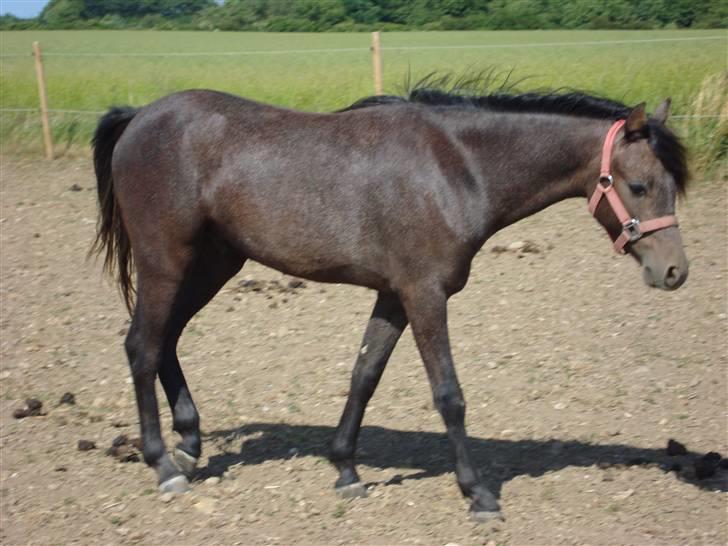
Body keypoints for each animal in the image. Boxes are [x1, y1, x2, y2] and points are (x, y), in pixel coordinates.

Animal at [91, 81, 688, 521]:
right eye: (638, 186)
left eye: (671, 186)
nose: (675, 272)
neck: (456, 167)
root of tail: (140, 116)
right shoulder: (424, 295)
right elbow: (449, 395)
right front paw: (478, 494)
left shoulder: (393, 296)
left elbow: (365, 375)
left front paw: (346, 471)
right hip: (167, 263)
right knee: (142, 347)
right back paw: (165, 466)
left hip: (213, 264)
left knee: (165, 341)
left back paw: (190, 443)